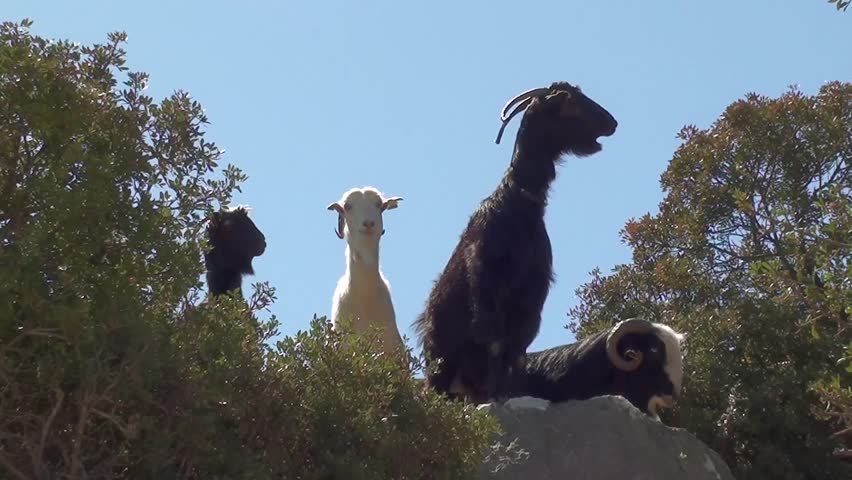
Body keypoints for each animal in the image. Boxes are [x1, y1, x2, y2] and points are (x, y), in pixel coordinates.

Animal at [413, 82, 618, 404]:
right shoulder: (487, 283)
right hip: (442, 363)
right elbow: (497, 343)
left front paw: (509, 392)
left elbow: (517, 350)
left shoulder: (532, 292)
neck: (519, 203)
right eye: (570, 102)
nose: (612, 123)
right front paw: (495, 396)